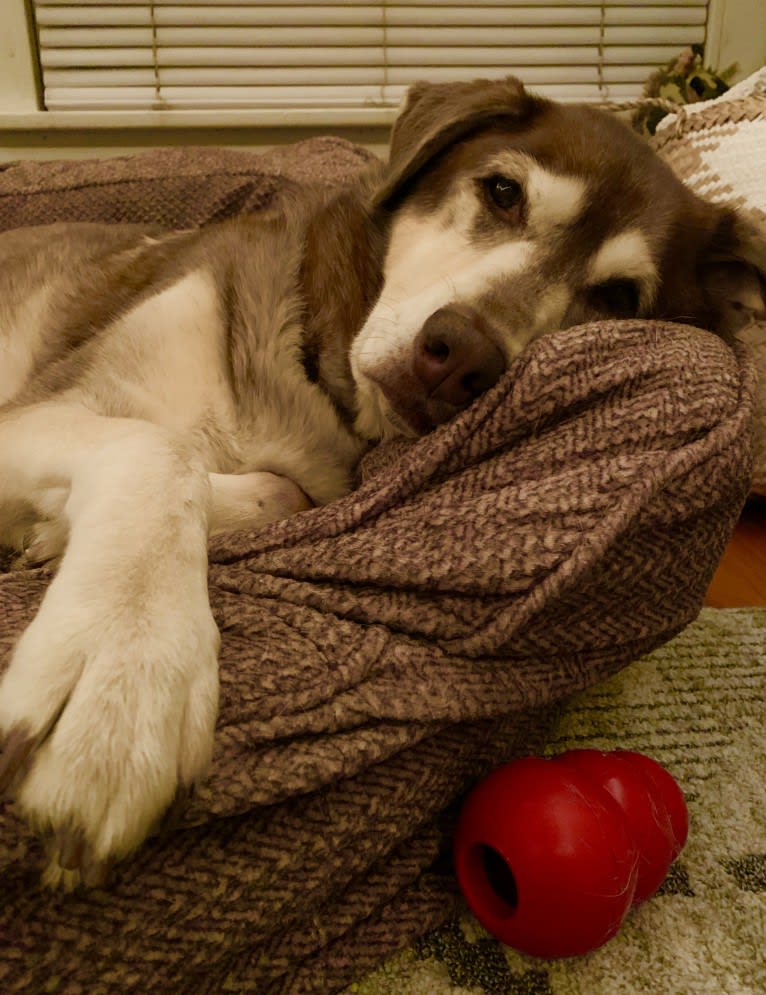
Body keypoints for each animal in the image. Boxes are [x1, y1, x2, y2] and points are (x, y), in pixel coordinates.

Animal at [1, 78, 766, 888]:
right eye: (502, 192)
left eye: (619, 298)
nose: (459, 356)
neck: (311, 390)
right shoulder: (43, 406)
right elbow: (160, 446)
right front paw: (122, 674)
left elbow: (277, 489)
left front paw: (56, 539)